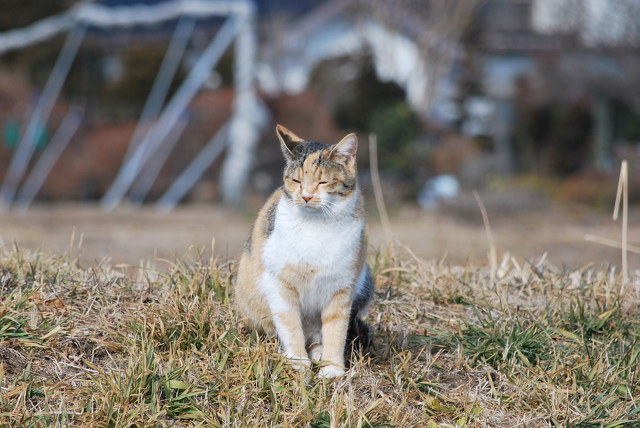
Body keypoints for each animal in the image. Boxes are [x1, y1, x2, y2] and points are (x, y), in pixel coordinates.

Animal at [235, 123, 376, 378]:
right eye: (296, 180)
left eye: (323, 182)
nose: (307, 196)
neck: (316, 226)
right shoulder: (280, 285)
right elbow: (290, 325)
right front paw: (297, 361)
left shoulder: (341, 287)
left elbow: (336, 329)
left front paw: (332, 369)